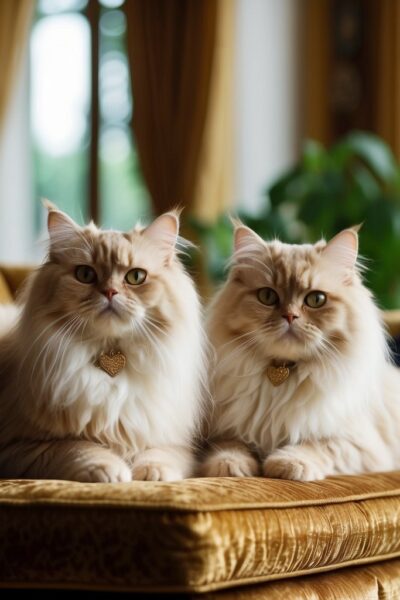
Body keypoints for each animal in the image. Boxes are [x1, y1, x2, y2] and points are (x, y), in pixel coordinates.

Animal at [0, 205, 206, 482]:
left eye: (136, 277)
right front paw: (111, 471)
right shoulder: (20, 446)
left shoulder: (175, 443)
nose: (110, 292)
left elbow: (160, 455)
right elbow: (79, 448)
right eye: (85, 274)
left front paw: (151, 474)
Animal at [202, 223, 400, 480]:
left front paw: (288, 464)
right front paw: (230, 465)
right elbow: (230, 444)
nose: (290, 316)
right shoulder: (222, 429)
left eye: (316, 299)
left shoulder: (360, 444)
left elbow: (318, 445)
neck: (283, 376)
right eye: (267, 296)